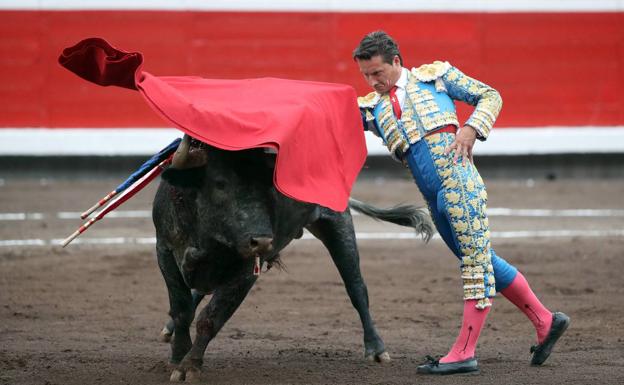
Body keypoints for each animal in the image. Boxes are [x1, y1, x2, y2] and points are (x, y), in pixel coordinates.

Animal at [152, 144, 434, 380]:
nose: (261, 241)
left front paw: (189, 367)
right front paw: (178, 356)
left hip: (338, 223)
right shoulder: (164, 249)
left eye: (268, 188)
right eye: (220, 184)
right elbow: (182, 308)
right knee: (198, 291)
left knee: (356, 288)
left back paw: (376, 349)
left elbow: (211, 317)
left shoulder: (246, 271)